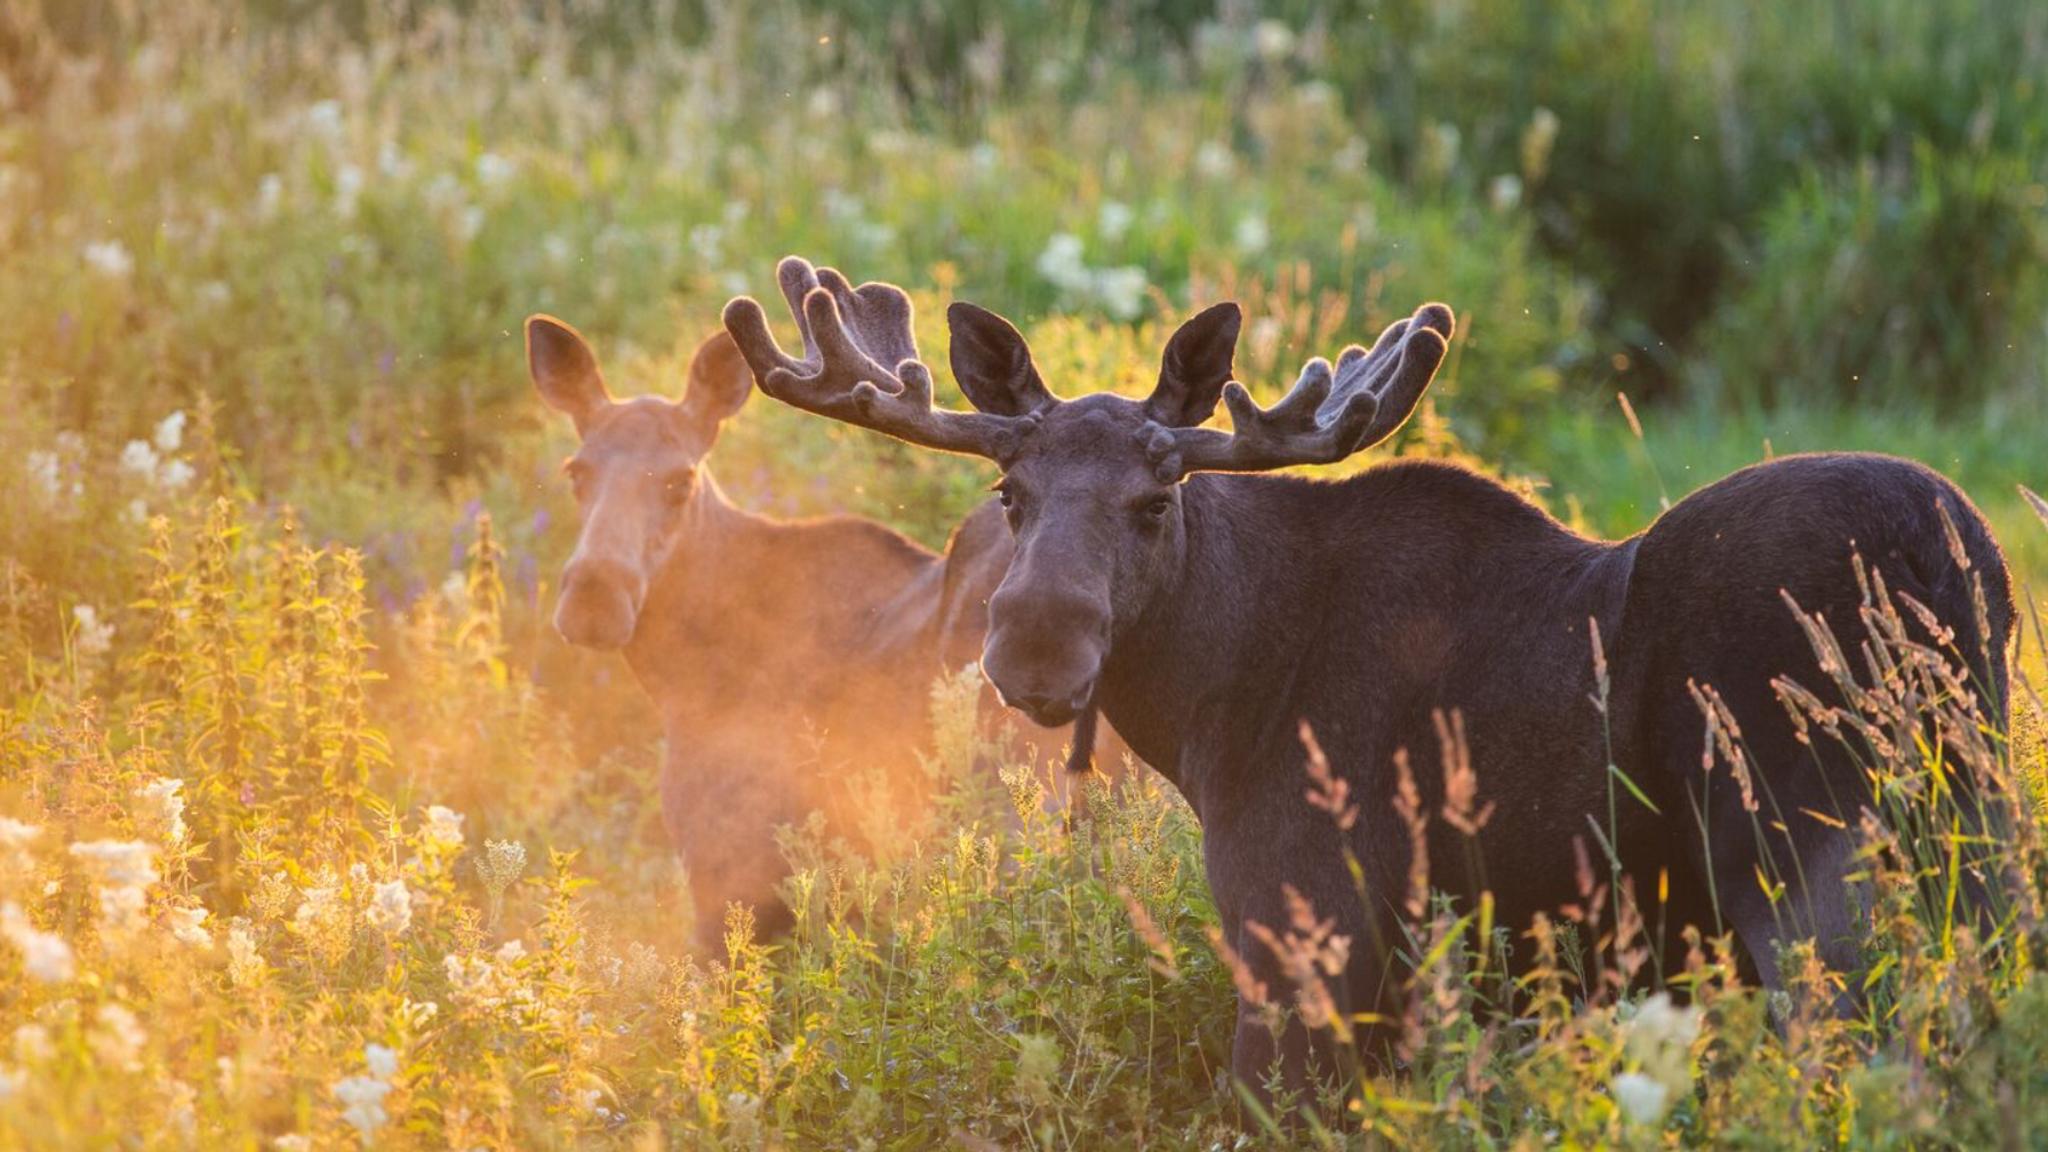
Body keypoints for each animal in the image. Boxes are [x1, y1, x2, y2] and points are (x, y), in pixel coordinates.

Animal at [724, 256, 2014, 1100]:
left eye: (1154, 499)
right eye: (1009, 491)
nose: (1036, 650)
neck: (1210, 707)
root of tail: (1946, 552)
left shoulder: (1306, 933)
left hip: (1815, 871)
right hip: (1977, 842)